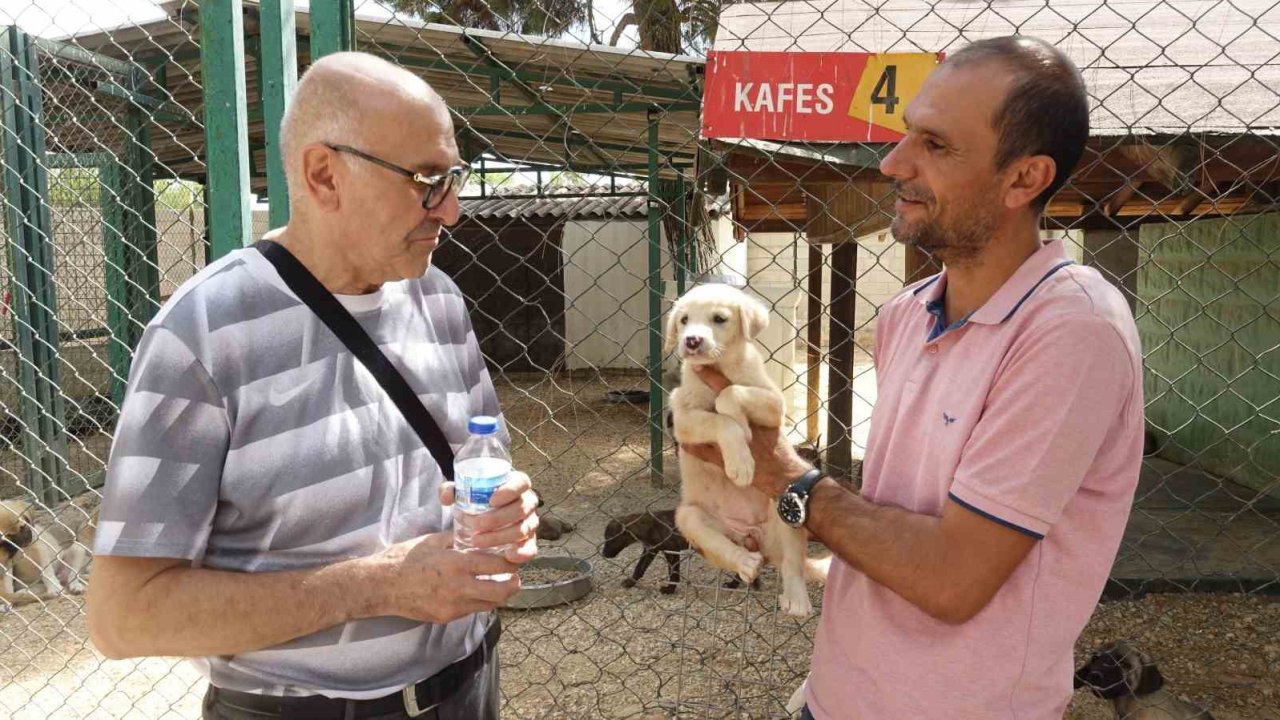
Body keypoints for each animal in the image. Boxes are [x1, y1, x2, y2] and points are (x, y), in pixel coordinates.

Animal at [660, 283, 829, 614]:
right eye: (684, 320)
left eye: (719, 319)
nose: (691, 340)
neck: (720, 365)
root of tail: (754, 536)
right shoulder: (683, 418)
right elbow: (722, 421)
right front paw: (740, 461)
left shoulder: (774, 403)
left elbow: (730, 393)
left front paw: (738, 423)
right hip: (688, 517)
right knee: (723, 545)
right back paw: (746, 562)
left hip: (783, 509)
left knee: (792, 563)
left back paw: (796, 600)